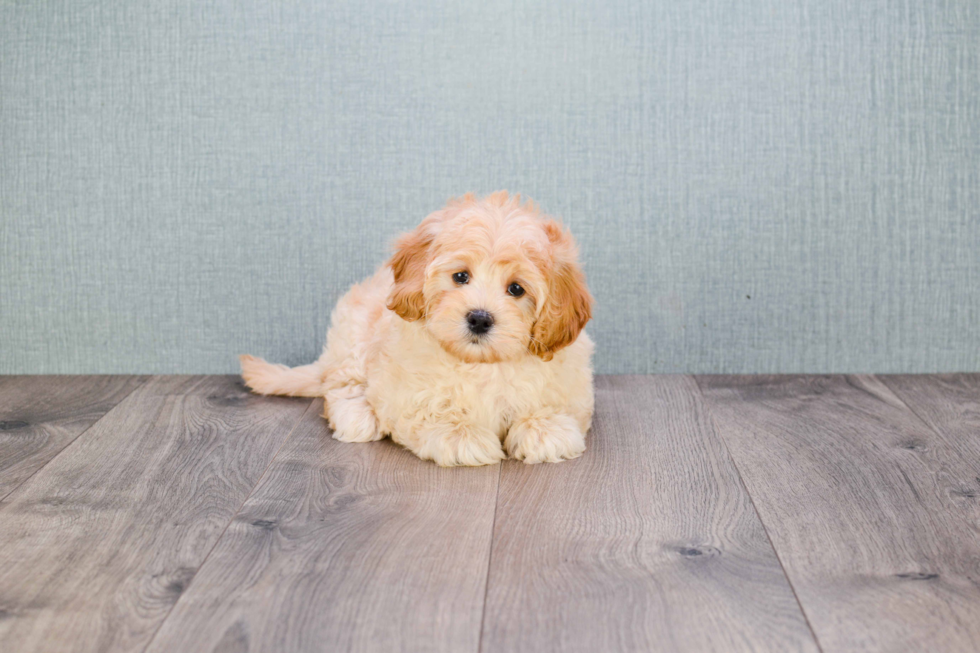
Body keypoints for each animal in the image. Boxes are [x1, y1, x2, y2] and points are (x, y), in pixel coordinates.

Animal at [241, 191, 592, 466]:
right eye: (461, 276)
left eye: (517, 289)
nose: (479, 318)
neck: (480, 364)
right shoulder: (403, 392)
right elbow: (428, 412)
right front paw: (460, 436)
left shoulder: (568, 386)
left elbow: (552, 407)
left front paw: (544, 429)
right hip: (353, 335)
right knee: (339, 385)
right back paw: (358, 414)